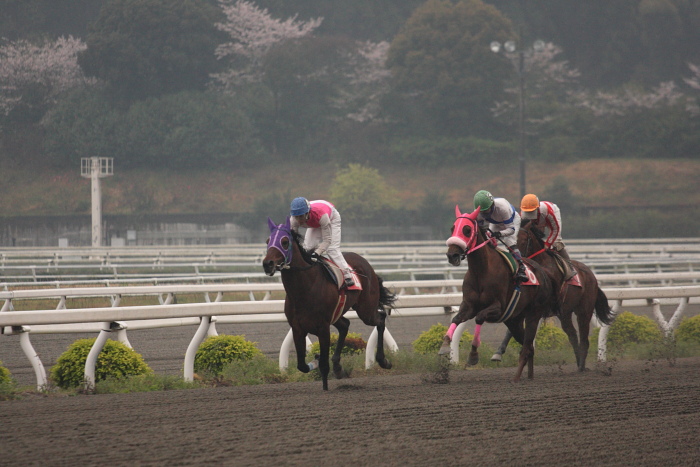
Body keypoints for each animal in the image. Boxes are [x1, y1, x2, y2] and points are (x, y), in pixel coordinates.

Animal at [262, 219, 396, 392]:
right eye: (267, 241)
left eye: (284, 242)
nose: (267, 264)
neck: (304, 289)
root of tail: (365, 263)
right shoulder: (298, 328)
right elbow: (301, 365)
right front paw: (316, 360)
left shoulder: (323, 327)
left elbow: (324, 365)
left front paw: (325, 387)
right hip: (338, 313)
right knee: (345, 325)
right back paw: (338, 367)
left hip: (366, 310)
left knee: (380, 318)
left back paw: (383, 361)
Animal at [438, 207, 556, 382]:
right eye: (453, 228)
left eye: (467, 230)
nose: (452, 255)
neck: (481, 271)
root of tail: (543, 273)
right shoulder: (468, 306)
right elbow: (456, 319)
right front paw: (445, 346)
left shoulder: (497, 308)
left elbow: (479, 318)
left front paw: (473, 355)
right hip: (514, 320)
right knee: (529, 347)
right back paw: (529, 376)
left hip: (533, 314)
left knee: (527, 345)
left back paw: (517, 377)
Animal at [512, 221, 616, 372]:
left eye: (525, 240)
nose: (516, 258)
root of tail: (591, 275)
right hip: (565, 314)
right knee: (572, 335)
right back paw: (579, 363)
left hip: (584, 311)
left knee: (584, 339)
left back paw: (582, 366)